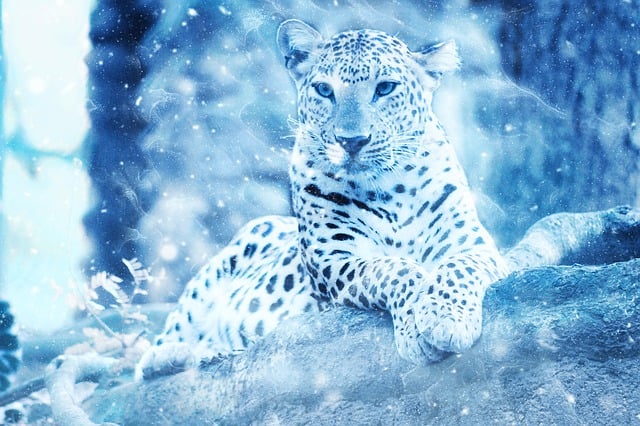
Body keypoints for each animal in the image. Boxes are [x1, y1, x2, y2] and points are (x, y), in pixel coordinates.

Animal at [136, 19, 639, 381]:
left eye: (385, 88)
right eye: (324, 90)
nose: (351, 141)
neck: (390, 188)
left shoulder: (473, 245)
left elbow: (455, 267)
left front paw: (444, 316)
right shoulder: (336, 260)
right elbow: (394, 269)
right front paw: (419, 327)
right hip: (240, 244)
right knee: (158, 346)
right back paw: (184, 353)